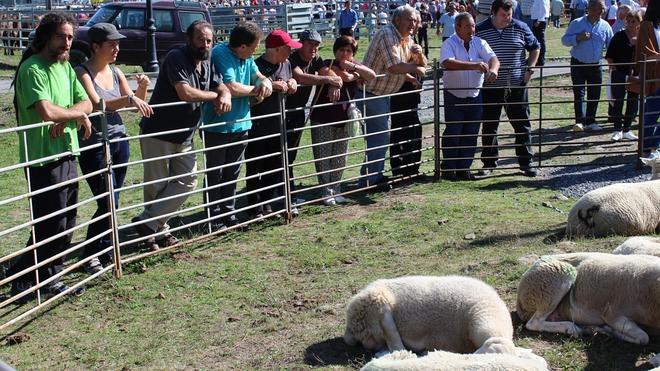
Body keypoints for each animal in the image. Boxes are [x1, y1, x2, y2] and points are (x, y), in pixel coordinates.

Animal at [520, 254, 660, 368]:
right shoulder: (612, 314)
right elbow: (643, 337)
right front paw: (608, 330)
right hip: (554, 280)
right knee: (534, 323)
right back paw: (572, 328)